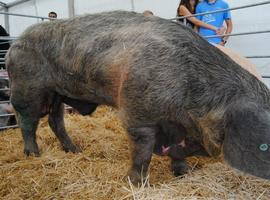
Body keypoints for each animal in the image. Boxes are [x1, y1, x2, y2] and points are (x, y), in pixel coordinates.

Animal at [5, 11, 270, 183]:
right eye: (264, 143)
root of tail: (12, 46)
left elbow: (176, 155)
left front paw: (184, 173)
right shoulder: (136, 114)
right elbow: (142, 152)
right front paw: (135, 183)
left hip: (59, 93)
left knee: (55, 121)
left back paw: (75, 150)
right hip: (26, 88)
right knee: (27, 122)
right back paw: (33, 154)